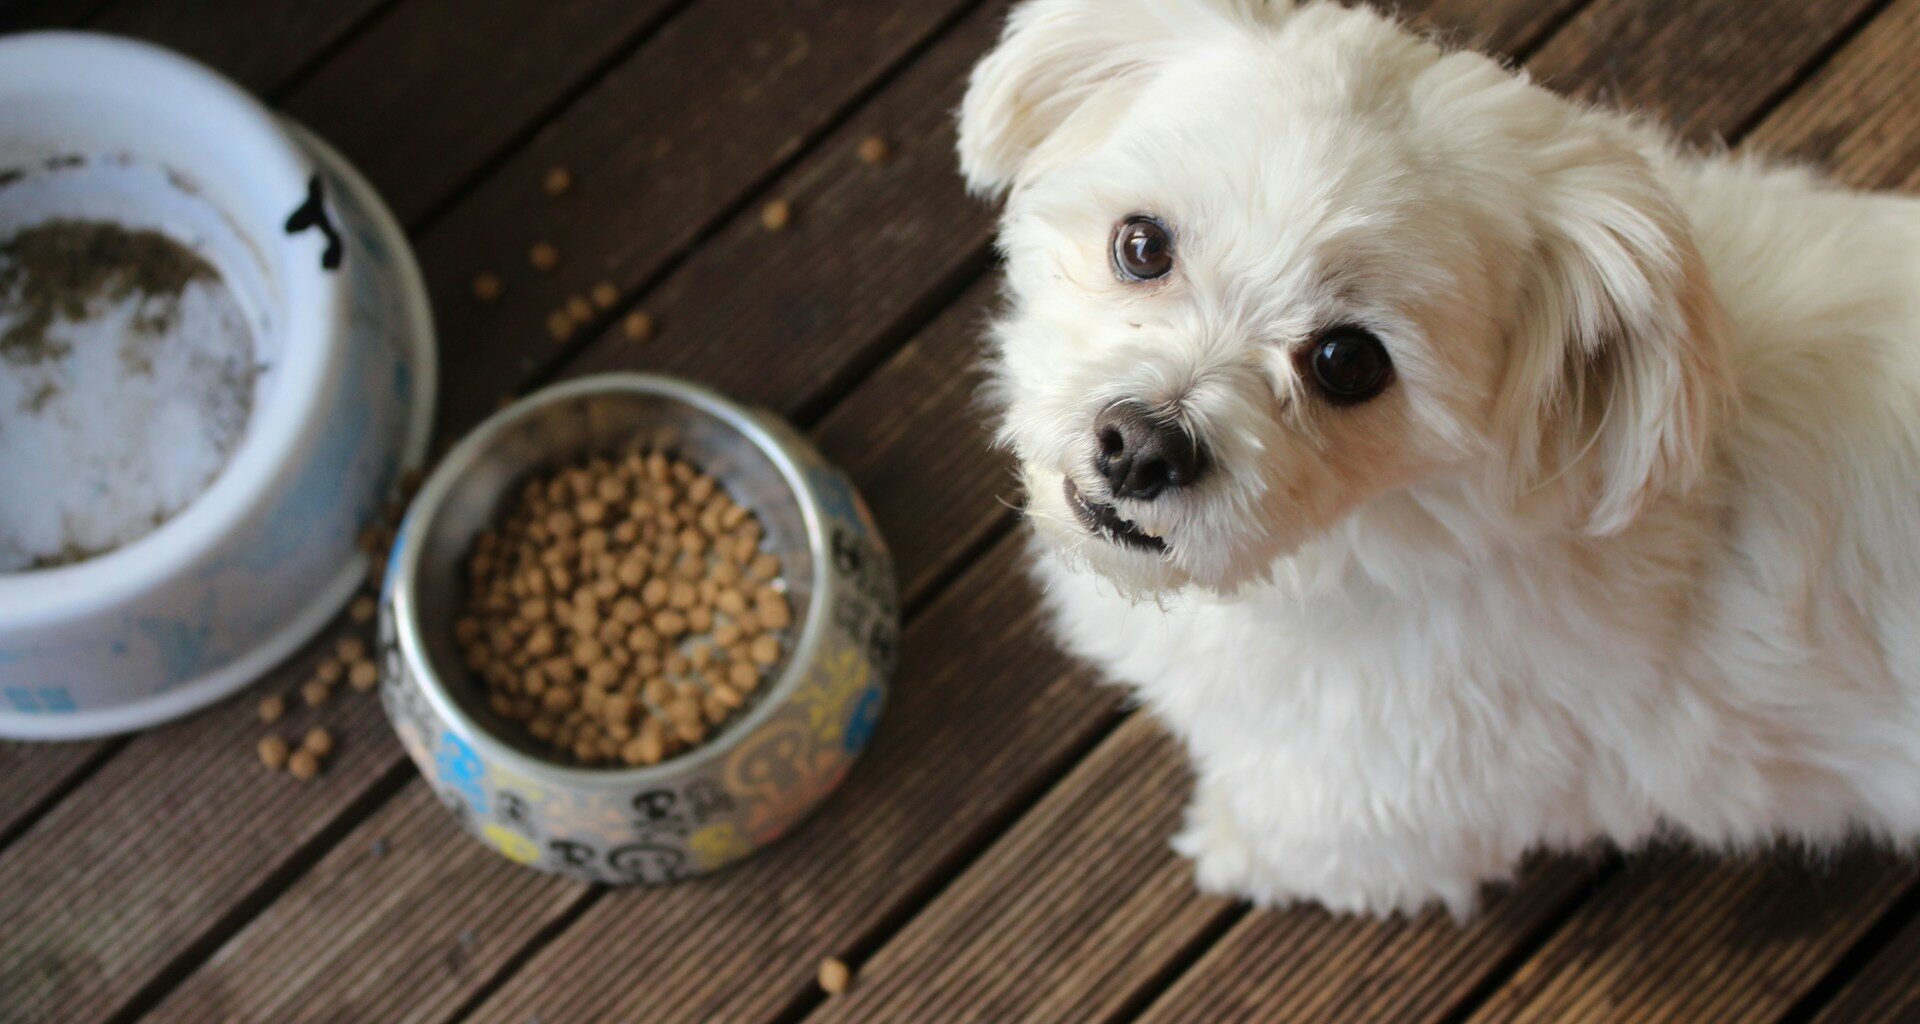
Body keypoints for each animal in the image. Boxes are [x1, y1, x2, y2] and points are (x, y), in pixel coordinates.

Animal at [960, 0, 1920, 914]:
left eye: (1349, 361)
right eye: (1142, 244)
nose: (1141, 447)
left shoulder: (1385, 806)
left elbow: (1304, 841)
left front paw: (1228, 843)